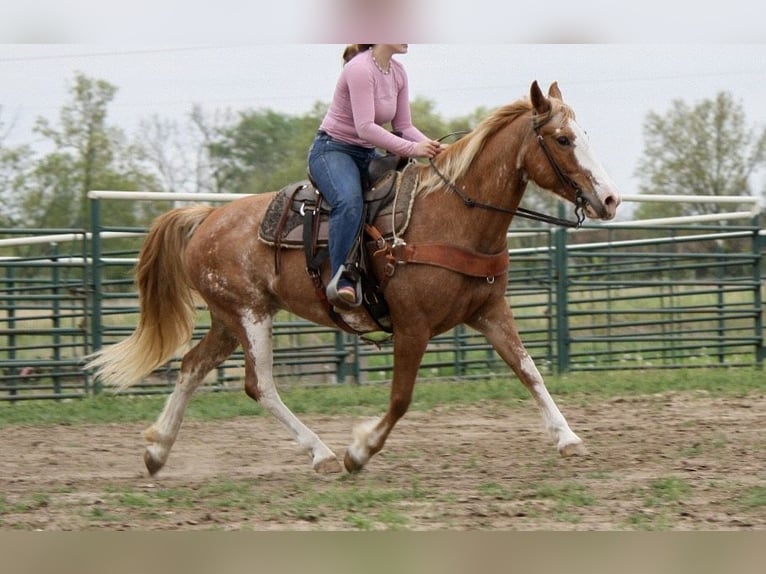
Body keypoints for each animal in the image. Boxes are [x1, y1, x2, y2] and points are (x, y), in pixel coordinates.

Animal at [86, 81, 621, 476]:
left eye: (585, 134)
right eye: (563, 139)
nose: (610, 200)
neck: (451, 216)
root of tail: (205, 218)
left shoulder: (490, 312)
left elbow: (528, 370)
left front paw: (569, 438)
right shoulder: (413, 326)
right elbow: (402, 398)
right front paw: (359, 451)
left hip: (227, 320)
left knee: (193, 366)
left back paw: (157, 452)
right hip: (249, 315)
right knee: (260, 385)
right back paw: (322, 453)